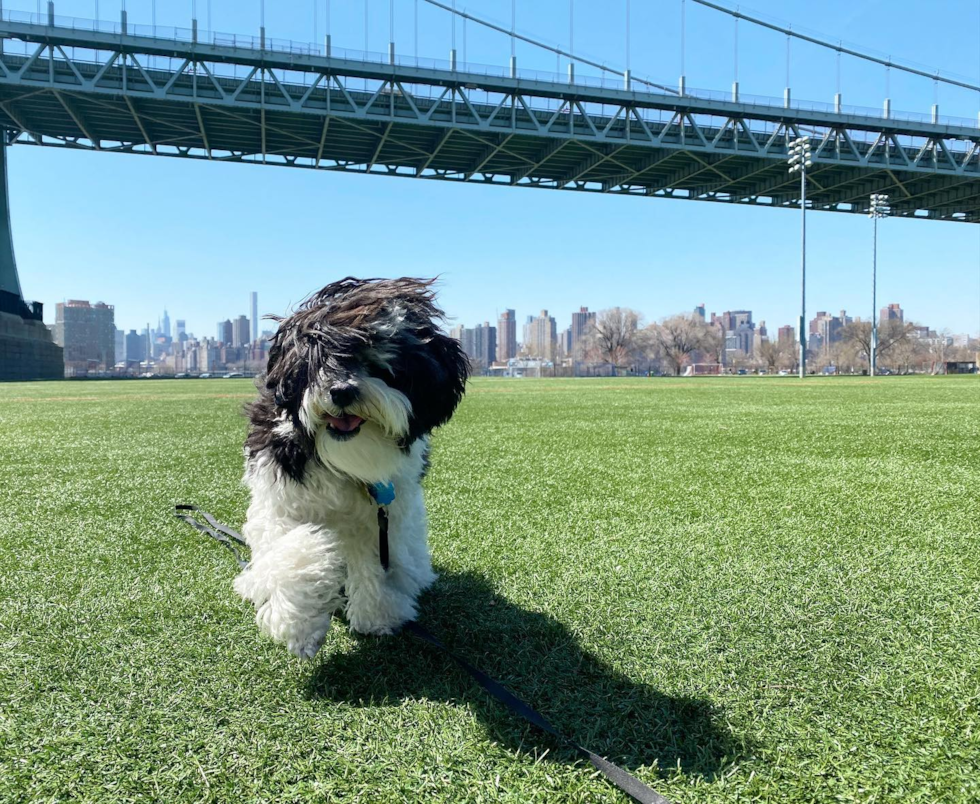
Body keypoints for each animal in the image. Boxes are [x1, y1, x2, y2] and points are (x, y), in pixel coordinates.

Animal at [235, 276, 468, 660]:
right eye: (320, 360)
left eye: (380, 364)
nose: (342, 391)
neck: (343, 458)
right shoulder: (279, 498)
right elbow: (294, 548)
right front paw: (299, 623)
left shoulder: (385, 513)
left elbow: (373, 560)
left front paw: (378, 615)